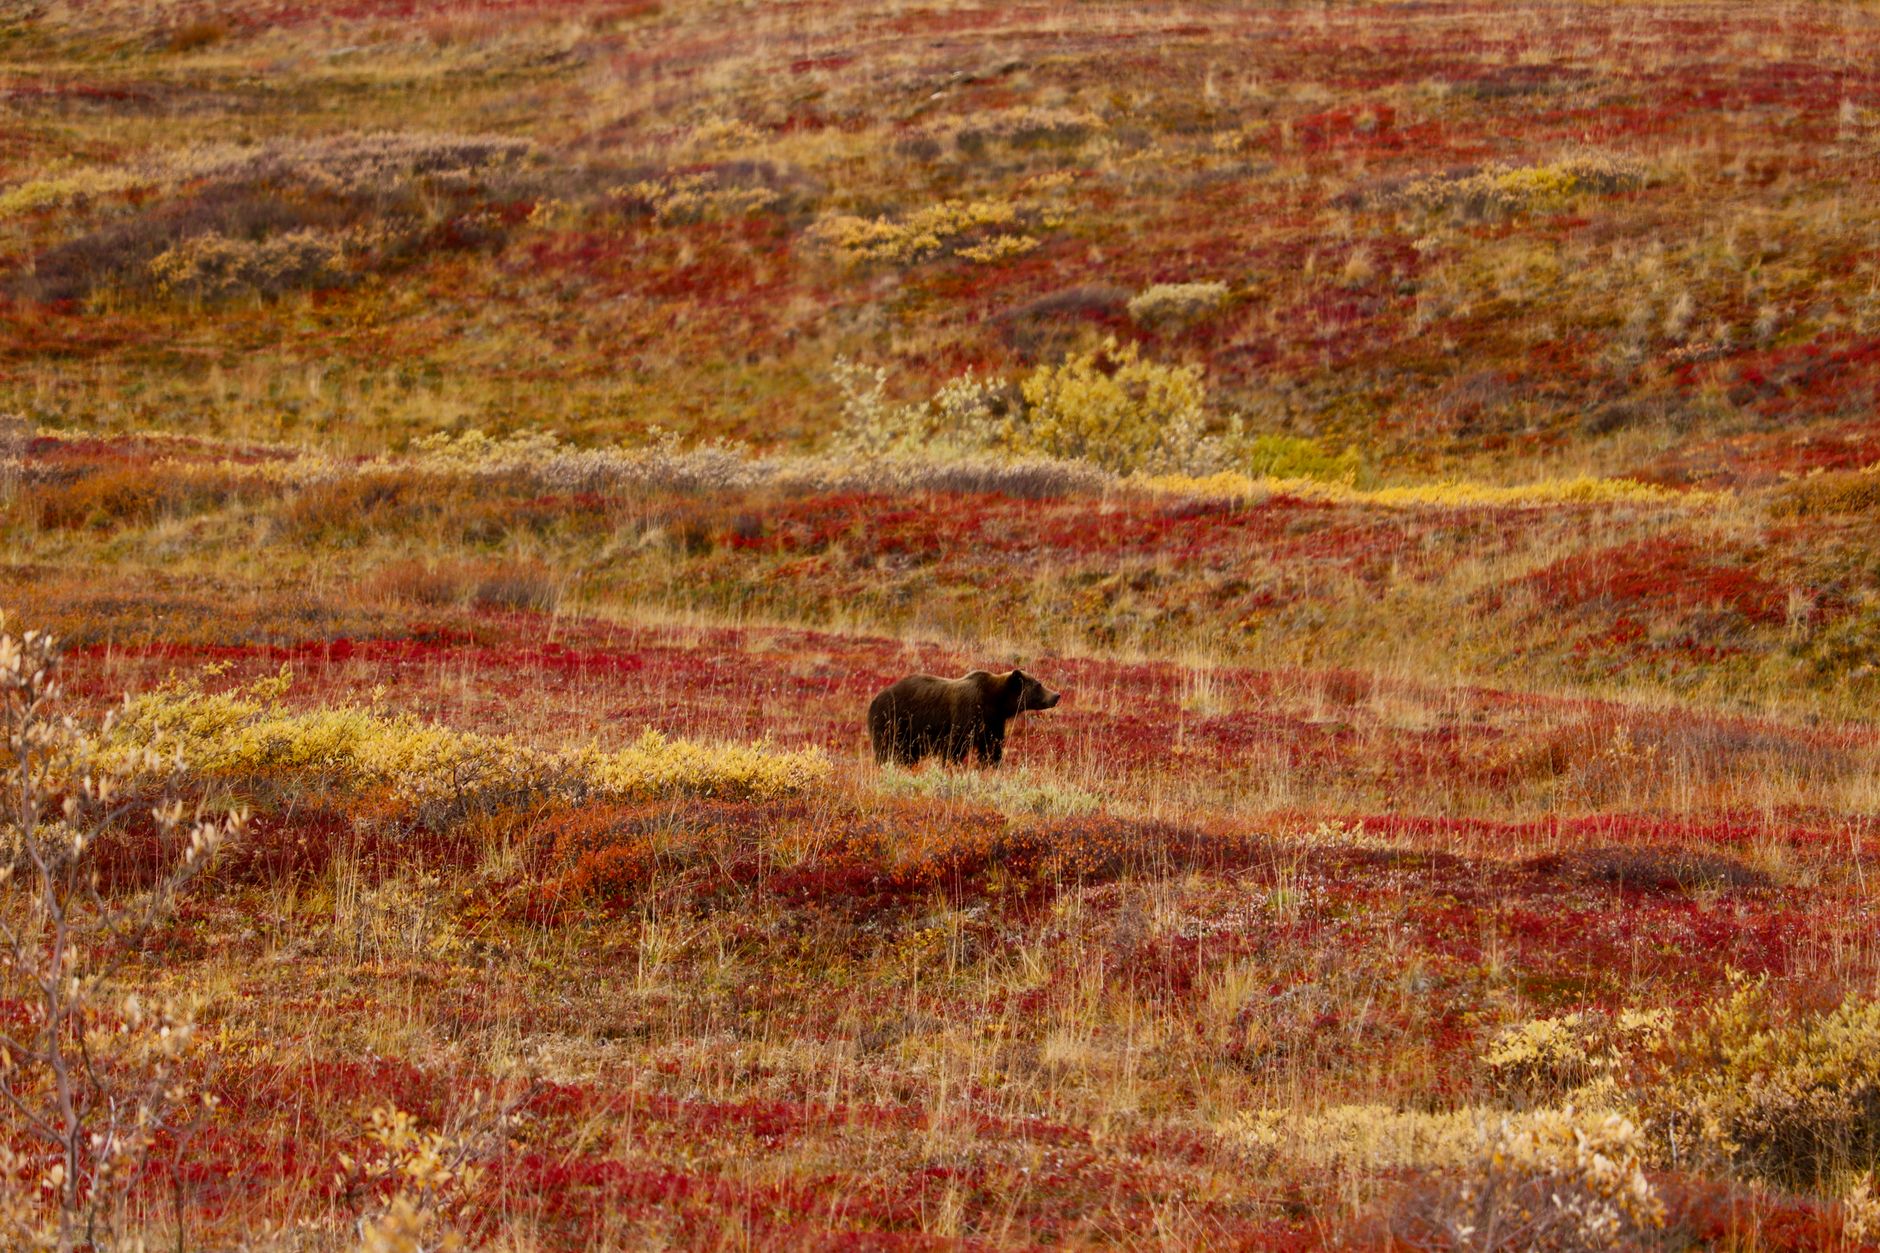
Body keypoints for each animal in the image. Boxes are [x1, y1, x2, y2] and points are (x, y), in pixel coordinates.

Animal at [868, 669, 1061, 767]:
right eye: (1039, 684)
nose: (1056, 695)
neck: (995, 702)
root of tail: (875, 699)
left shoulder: (992, 723)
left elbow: (991, 748)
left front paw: (991, 765)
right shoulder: (968, 714)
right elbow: (955, 746)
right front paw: (951, 765)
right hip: (893, 721)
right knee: (886, 749)